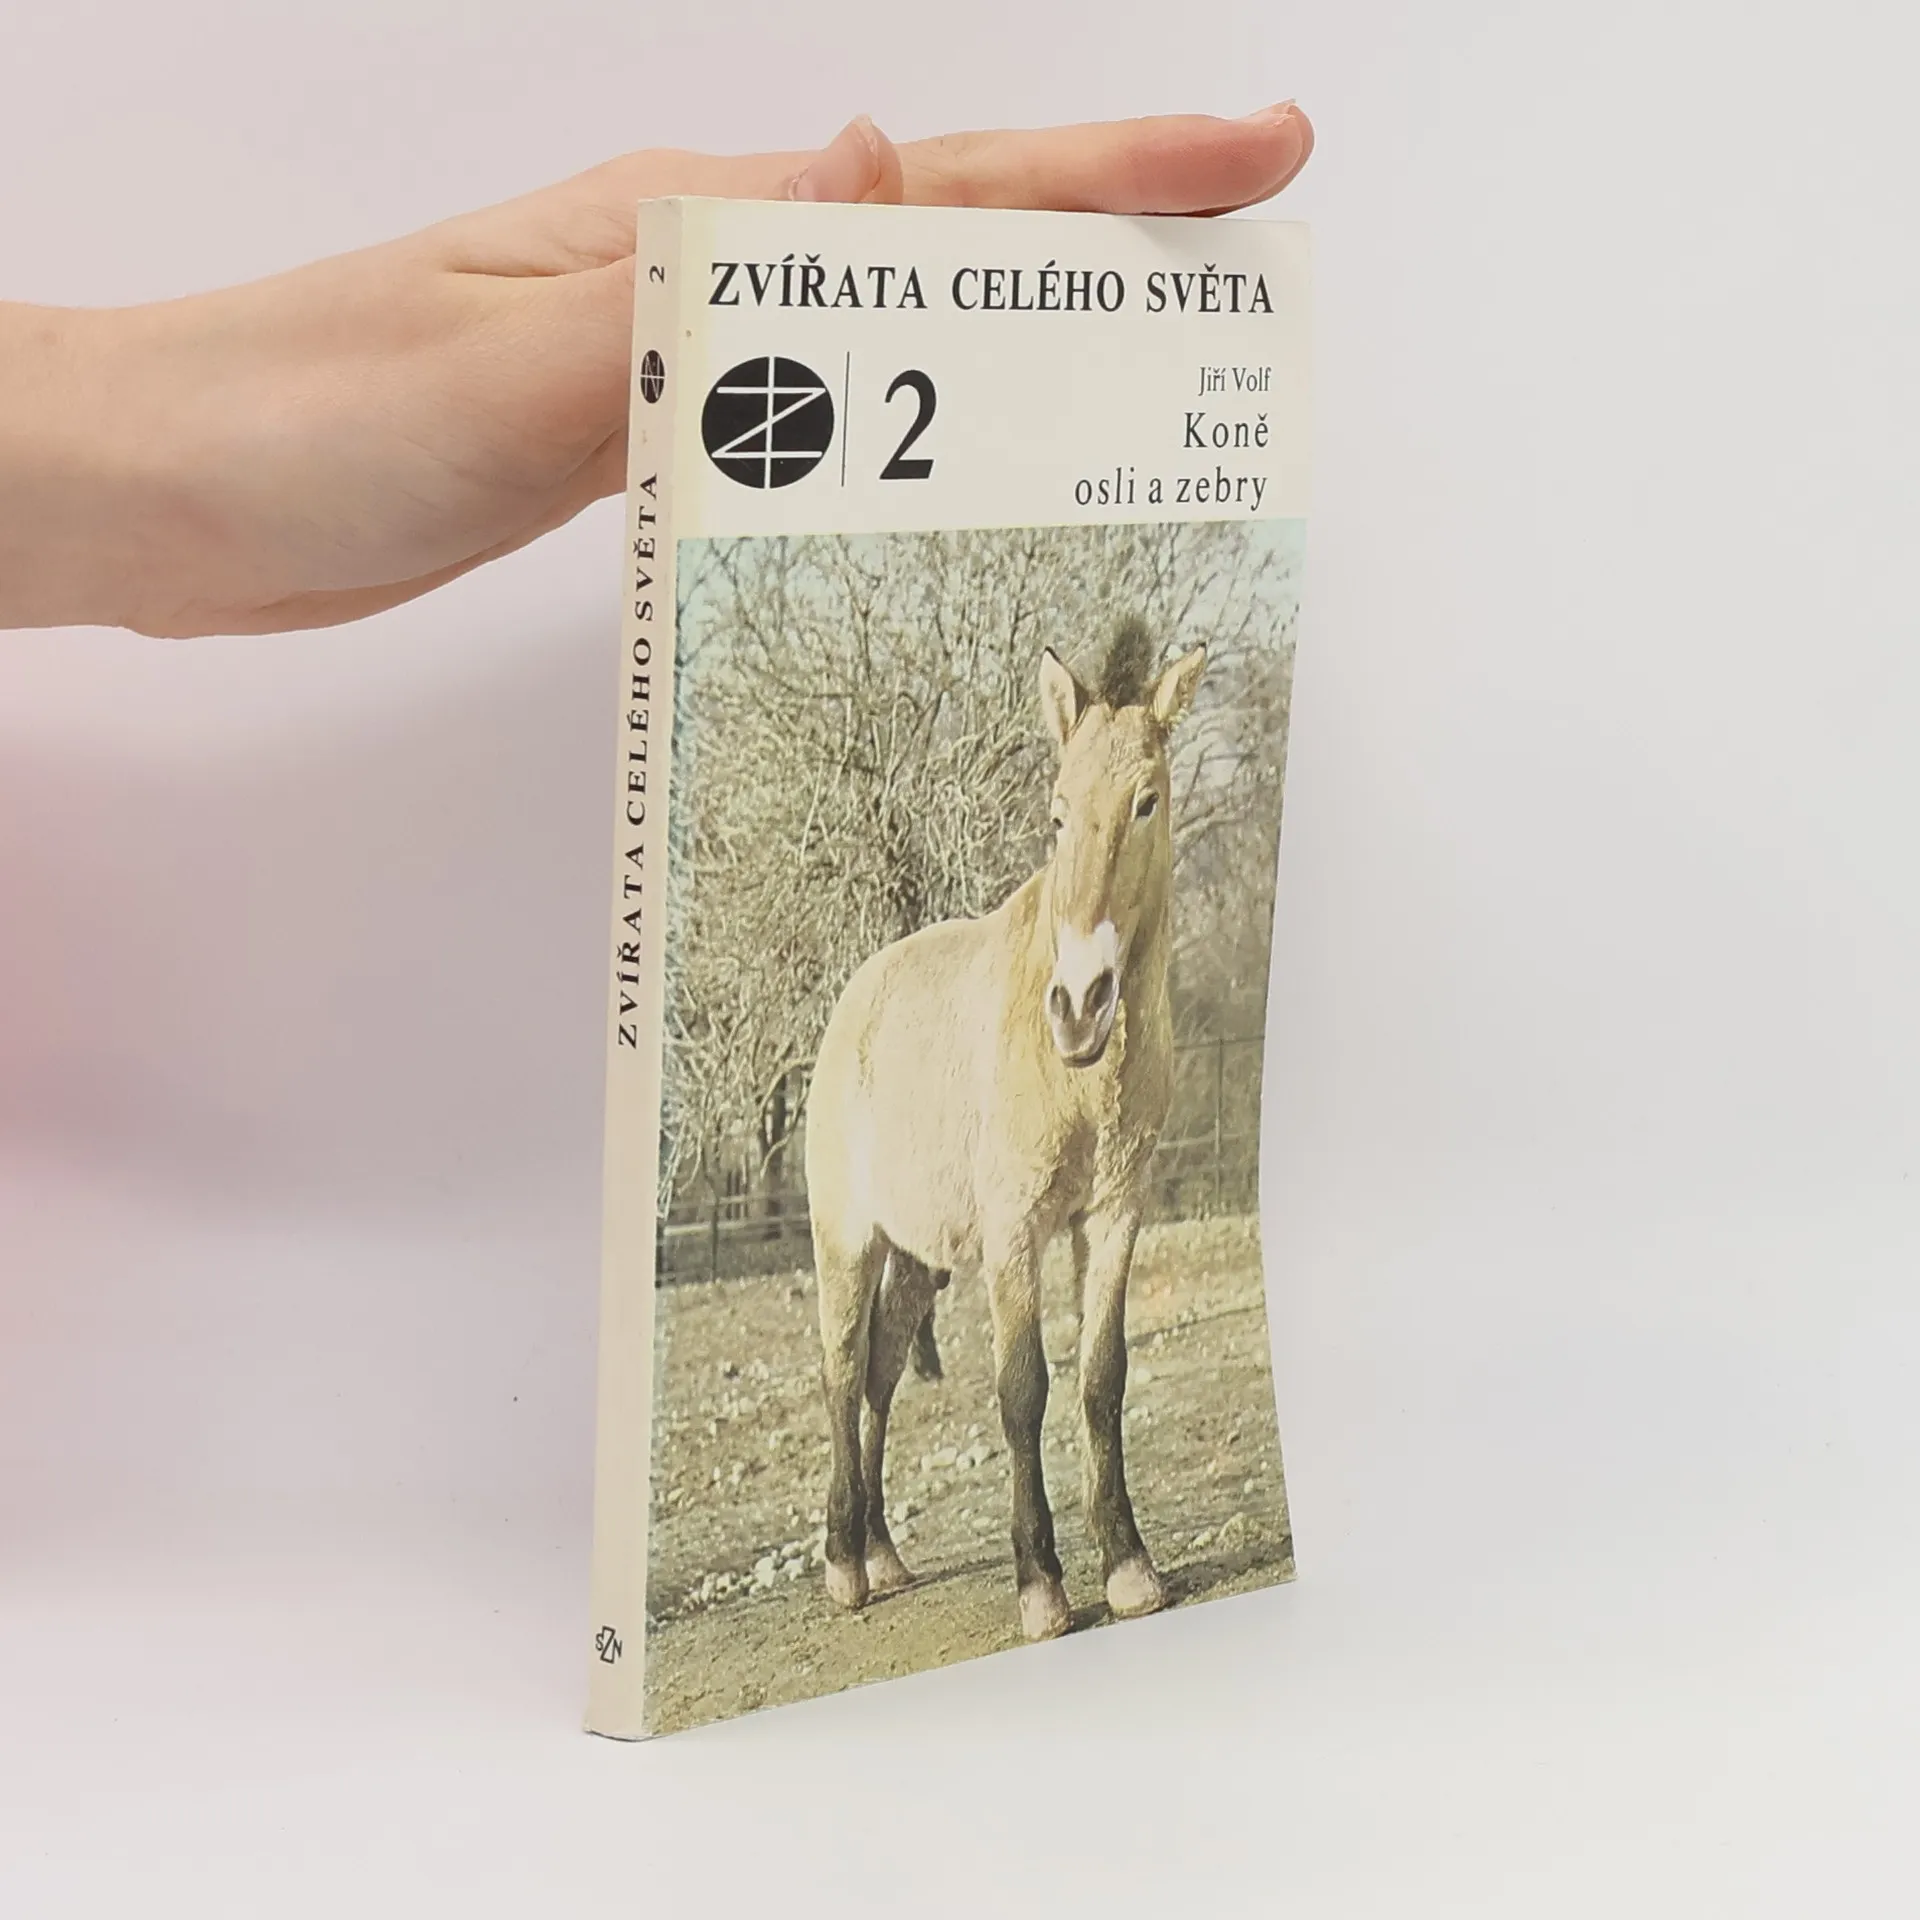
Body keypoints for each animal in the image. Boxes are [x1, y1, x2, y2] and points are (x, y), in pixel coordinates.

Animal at [804, 619, 1207, 1642]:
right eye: (1057, 815)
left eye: (1147, 802)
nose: (1080, 1005)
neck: (1078, 1078)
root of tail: (852, 1002)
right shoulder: (1016, 1233)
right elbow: (1023, 1388)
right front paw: (1042, 1586)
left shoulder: (1113, 1217)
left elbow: (1102, 1377)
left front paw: (1130, 1568)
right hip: (847, 1241)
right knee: (839, 1372)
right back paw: (844, 1567)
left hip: (920, 1259)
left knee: (879, 1376)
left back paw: (885, 1554)